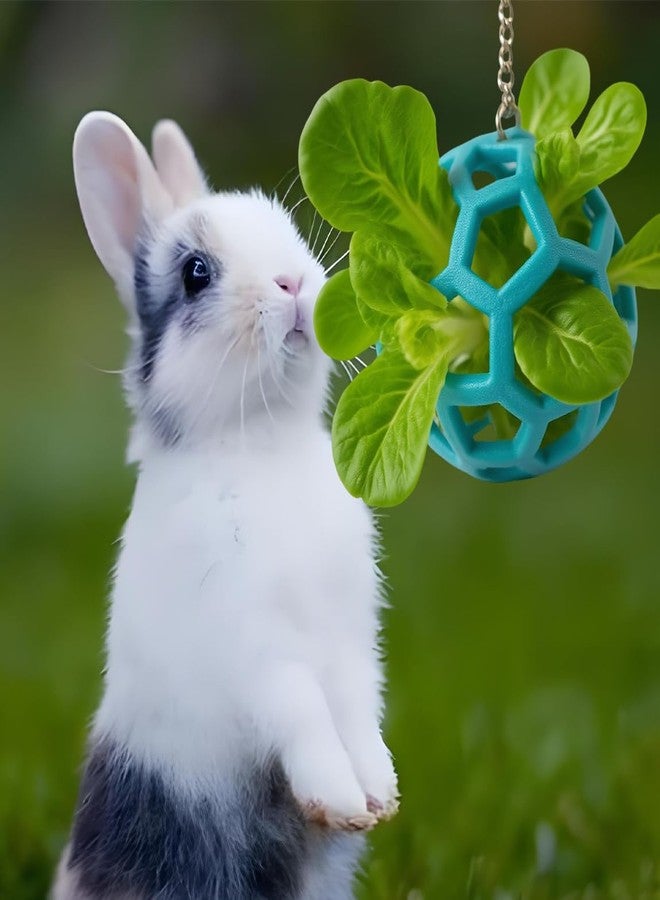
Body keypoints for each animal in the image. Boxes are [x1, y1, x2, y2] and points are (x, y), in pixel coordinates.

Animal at [51, 112, 398, 900]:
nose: (294, 280)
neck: (260, 441)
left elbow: (359, 711)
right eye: (196, 273)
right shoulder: (259, 651)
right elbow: (305, 715)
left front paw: (379, 796)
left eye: (286, 231)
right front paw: (338, 800)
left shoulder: (352, 641)